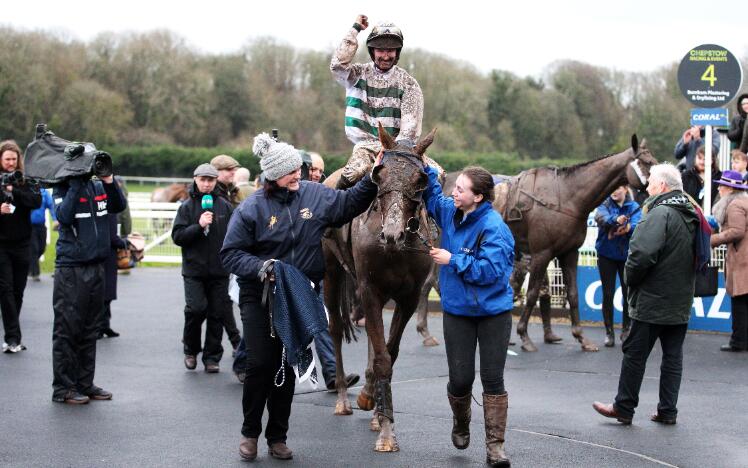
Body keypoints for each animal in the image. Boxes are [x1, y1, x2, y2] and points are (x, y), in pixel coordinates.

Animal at [322, 125, 438, 454]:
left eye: (421, 179)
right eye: (379, 175)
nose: (392, 235)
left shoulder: (407, 298)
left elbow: (389, 351)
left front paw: (376, 410)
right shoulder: (370, 290)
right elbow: (384, 358)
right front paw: (387, 434)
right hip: (331, 272)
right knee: (335, 328)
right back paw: (343, 399)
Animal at [502, 135, 656, 352]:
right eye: (647, 162)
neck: (565, 197)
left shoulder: (569, 252)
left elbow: (573, 293)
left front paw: (581, 337)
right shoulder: (541, 253)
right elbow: (531, 294)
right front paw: (524, 335)